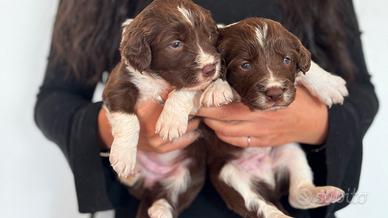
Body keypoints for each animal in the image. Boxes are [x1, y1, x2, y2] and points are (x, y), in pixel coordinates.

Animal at [101, 0, 232, 217]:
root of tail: (151, 184)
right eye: (175, 44)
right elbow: (128, 119)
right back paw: (131, 174)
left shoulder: (194, 84)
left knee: (170, 196)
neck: (159, 78)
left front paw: (170, 122)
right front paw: (123, 156)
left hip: (189, 174)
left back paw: (161, 209)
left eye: (209, 36)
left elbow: (184, 91)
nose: (211, 68)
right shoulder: (118, 82)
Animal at [206, 17, 348, 217]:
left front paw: (328, 83)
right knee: (257, 205)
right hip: (227, 174)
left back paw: (322, 193)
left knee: (297, 195)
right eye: (245, 65)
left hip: (291, 152)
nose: (275, 92)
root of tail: (269, 183)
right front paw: (217, 87)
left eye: (286, 60)